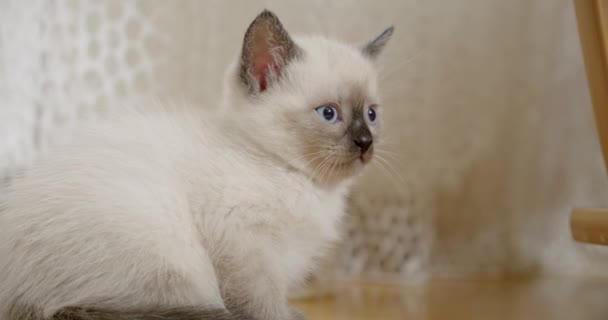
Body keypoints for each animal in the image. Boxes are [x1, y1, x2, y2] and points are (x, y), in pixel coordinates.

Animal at [0, 9, 394, 320]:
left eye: (371, 114)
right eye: (329, 113)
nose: (365, 143)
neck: (302, 183)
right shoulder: (242, 247)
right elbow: (262, 305)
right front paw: (285, 316)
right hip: (171, 259)